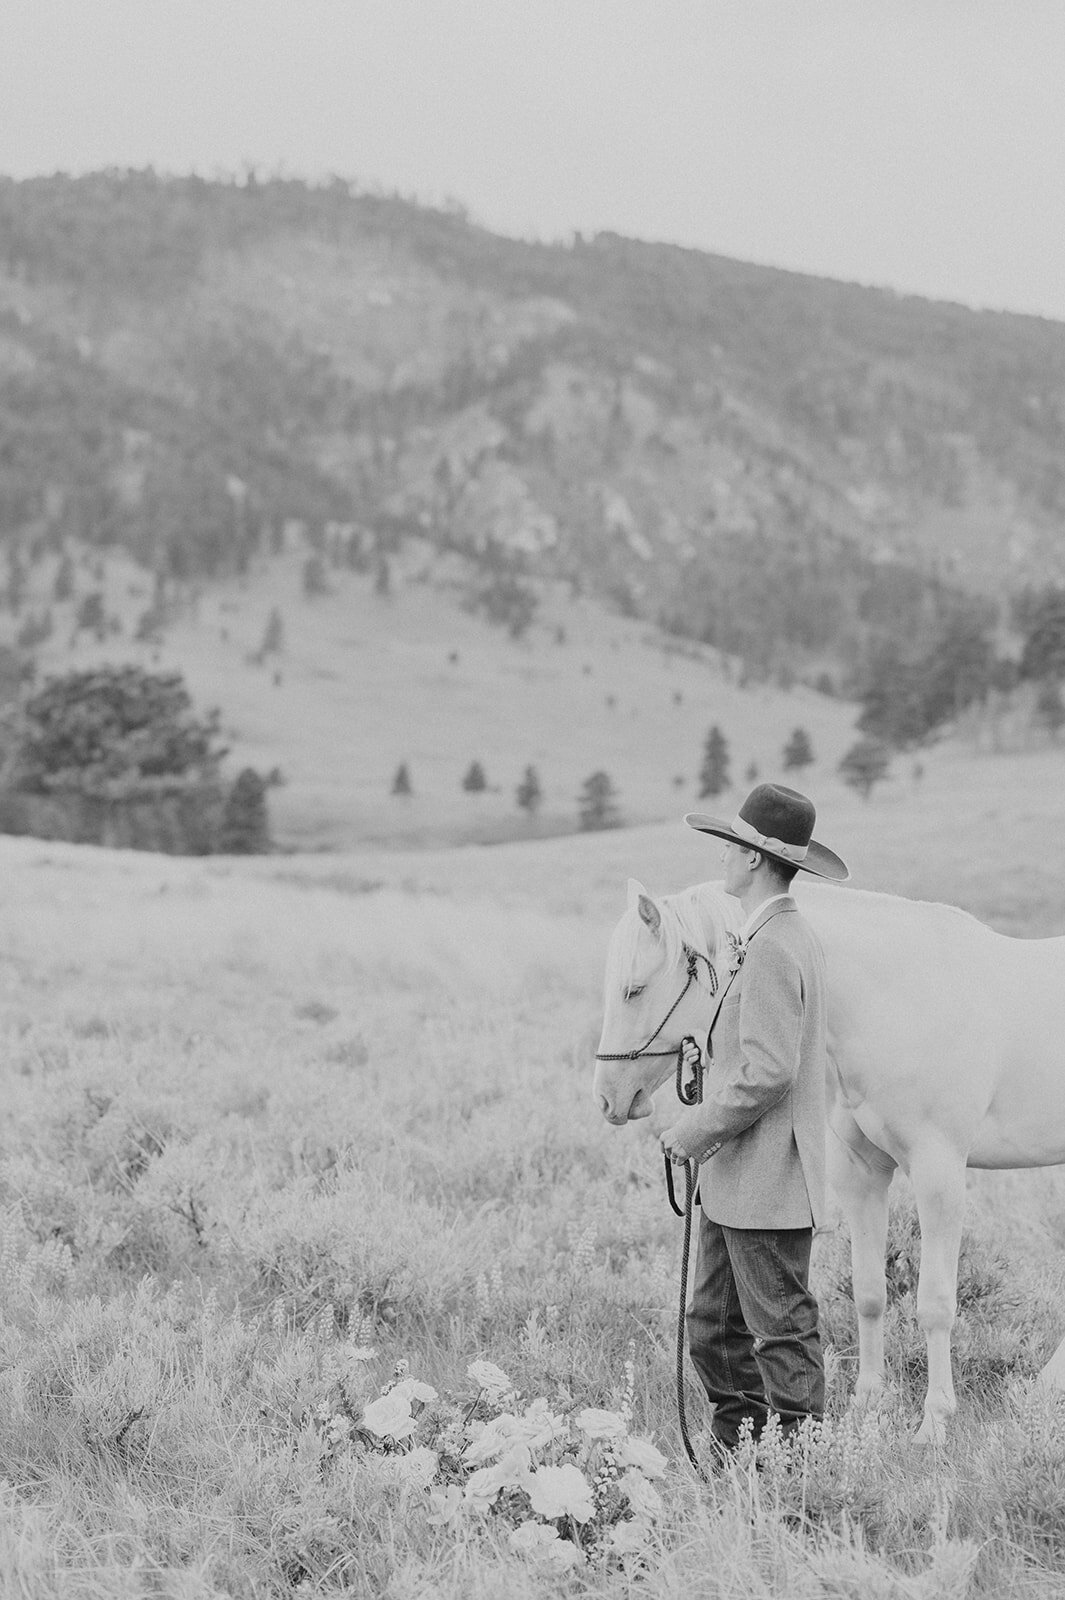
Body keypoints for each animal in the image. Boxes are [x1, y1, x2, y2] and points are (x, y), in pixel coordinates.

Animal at [591, 883, 1061, 1446]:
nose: (608, 1099)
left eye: (634, 990)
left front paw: (933, 1424)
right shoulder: (862, 1175)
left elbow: (935, 1303)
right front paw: (867, 1406)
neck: (904, 1001)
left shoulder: (939, 1174)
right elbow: (869, 1293)